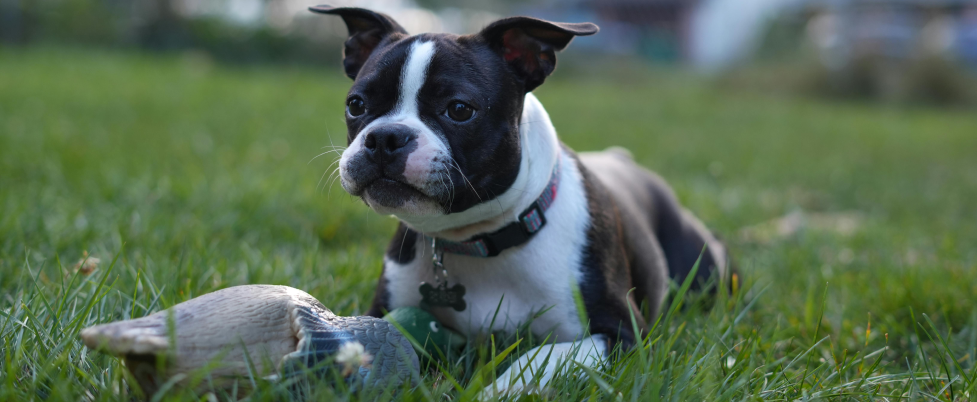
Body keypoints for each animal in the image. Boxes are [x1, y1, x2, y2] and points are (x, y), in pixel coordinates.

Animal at [308, 5, 728, 396]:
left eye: (459, 109)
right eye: (356, 105)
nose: (386, 137)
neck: (478, 240)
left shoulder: (625, 336)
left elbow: (543, 355)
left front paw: (496, 391)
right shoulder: (382, 307)